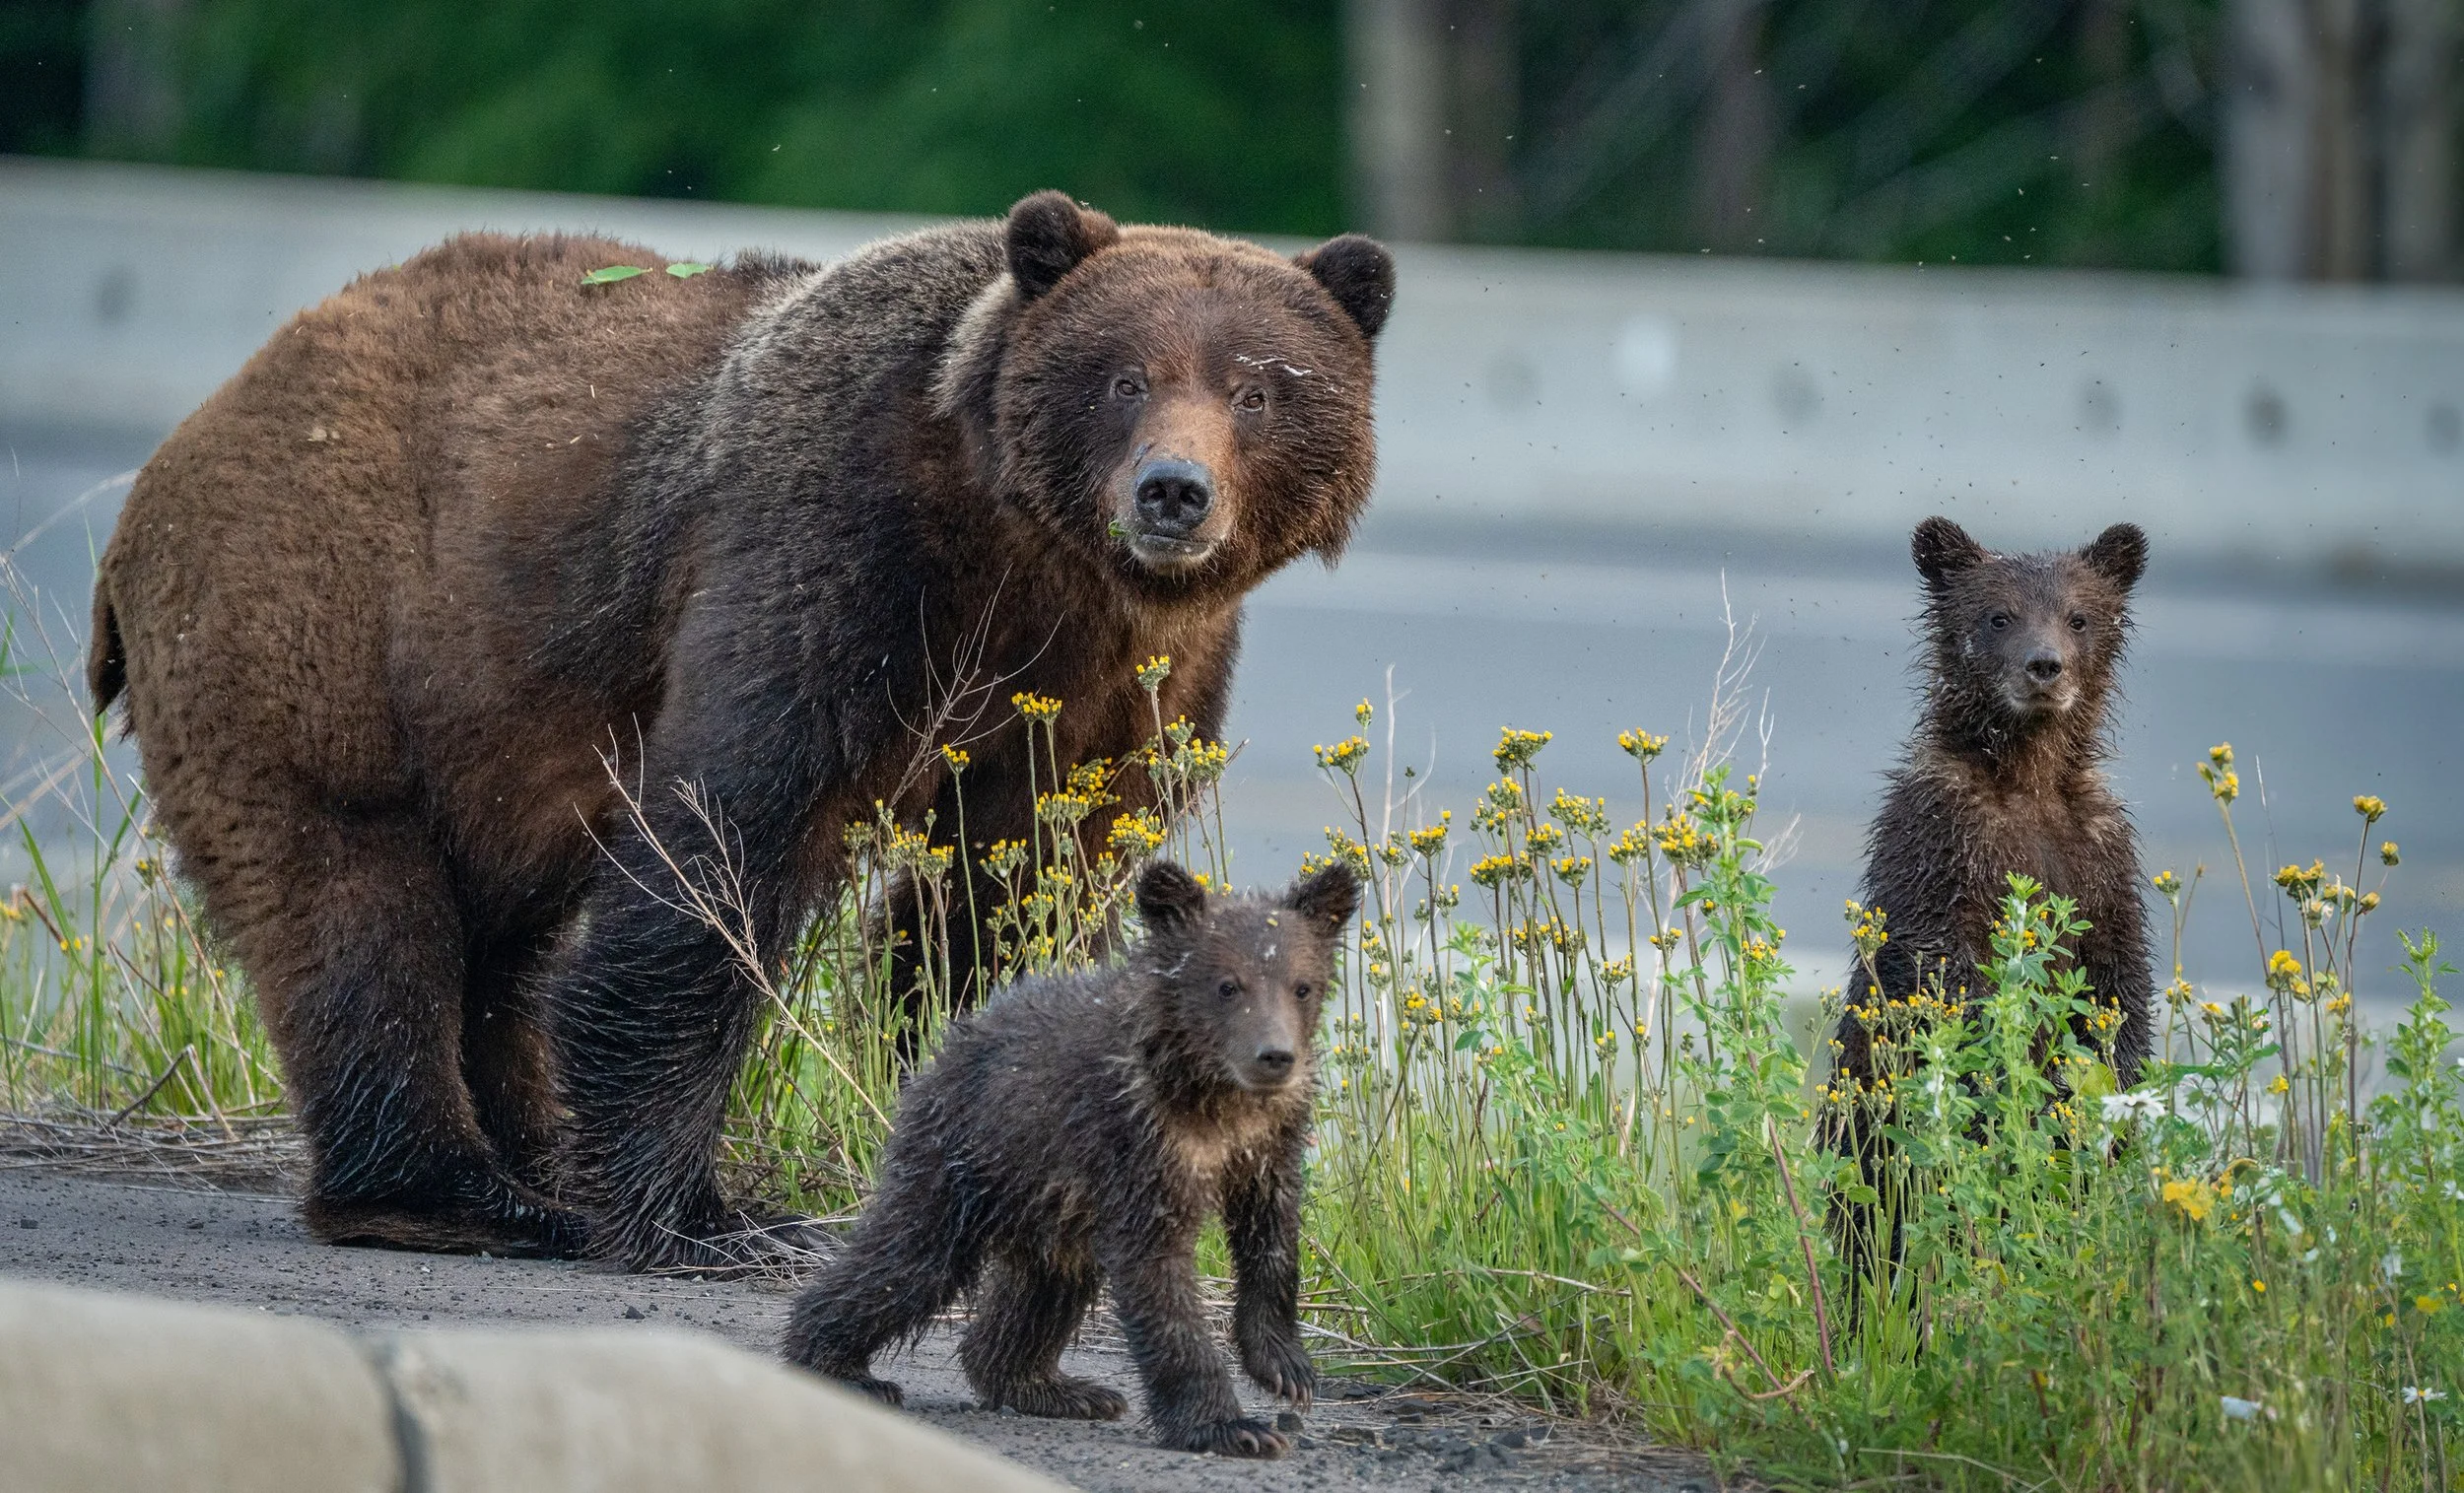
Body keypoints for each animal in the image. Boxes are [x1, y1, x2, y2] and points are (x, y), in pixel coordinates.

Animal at [85, 191, 1394, 1270]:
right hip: (313, 620)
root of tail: (183, 443)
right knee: (356, 898)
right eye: (1122, 377)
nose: (1172, 492)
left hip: (480, 722)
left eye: (1257, 385)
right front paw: (707, 1215)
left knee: (500, 936)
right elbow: (732, 832)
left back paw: (530, 1157)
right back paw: (451, 1194)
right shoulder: (837, 552)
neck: (1034, 560)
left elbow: (1008, 889)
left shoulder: (1123, 686)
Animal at [782, 859, 1357, 1460]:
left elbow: (1273, 1235)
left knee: (1048, 1284)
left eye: (1302, 986)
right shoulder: (1136, 1141)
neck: (1216, 1097)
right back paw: (839, 1366)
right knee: (910, 1259)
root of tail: (952, 1040)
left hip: (1051, 1202)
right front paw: (1232, 1426)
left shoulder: (1270, 1143)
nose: (1275, 1056)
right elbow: (1157, 1274)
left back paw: (1055, 1386)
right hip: (961, 1158)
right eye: (1227, 985)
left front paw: (1287, 1367)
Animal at [1826, 516, 2155, 1293]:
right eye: (1998, 616)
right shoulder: (1941, 838)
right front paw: (2006, 1081)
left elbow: (2117, 977)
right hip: (1870, 1156)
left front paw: (2107, 1096)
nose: (2045, 666)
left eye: (2078, 615)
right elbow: (1943, 967)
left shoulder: (2100, 852)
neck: (2026, 779)